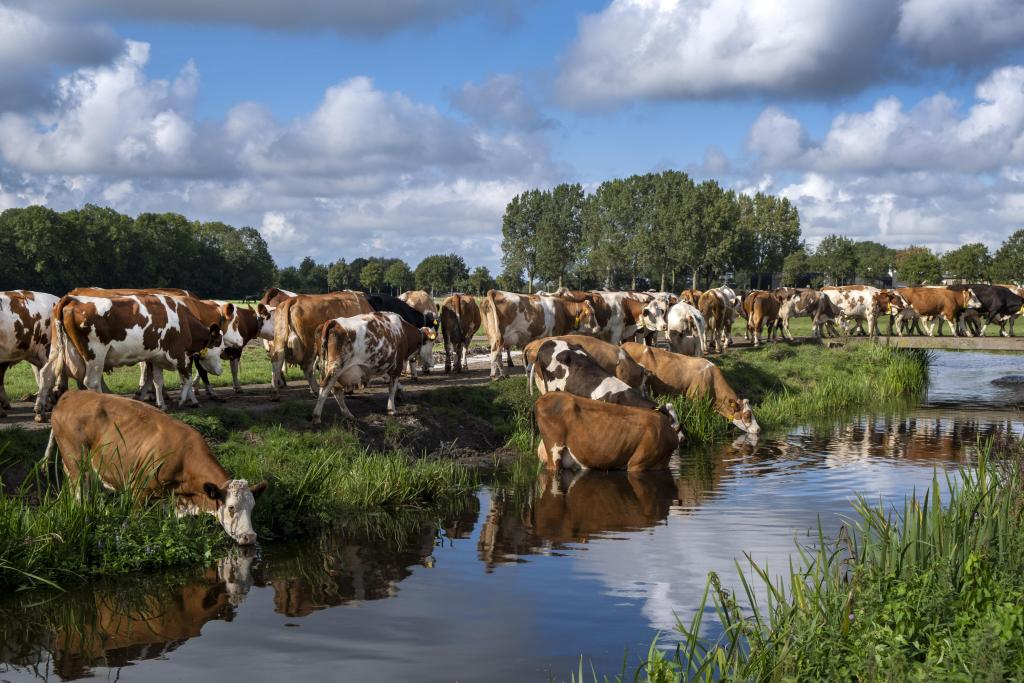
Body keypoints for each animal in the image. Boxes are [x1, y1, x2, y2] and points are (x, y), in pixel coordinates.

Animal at [33, 294, 227, 421]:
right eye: (220, 345)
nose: (221, 370)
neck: (184, 321)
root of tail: (72, 299)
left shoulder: (156, 357)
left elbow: (158, 380)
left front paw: (162, 404)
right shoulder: (180, 354)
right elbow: (186, 379)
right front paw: (183, 400)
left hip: (57, 348)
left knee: (46, 374)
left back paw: (39, 411)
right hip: (95, 354)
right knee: (92, 381)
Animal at [45, 391, 265, 543]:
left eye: (253, 507)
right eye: (231, 507)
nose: (250, 537)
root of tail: (71, 394)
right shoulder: (138, 491)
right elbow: (132, 522)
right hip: (76, 465)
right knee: (80, 496)